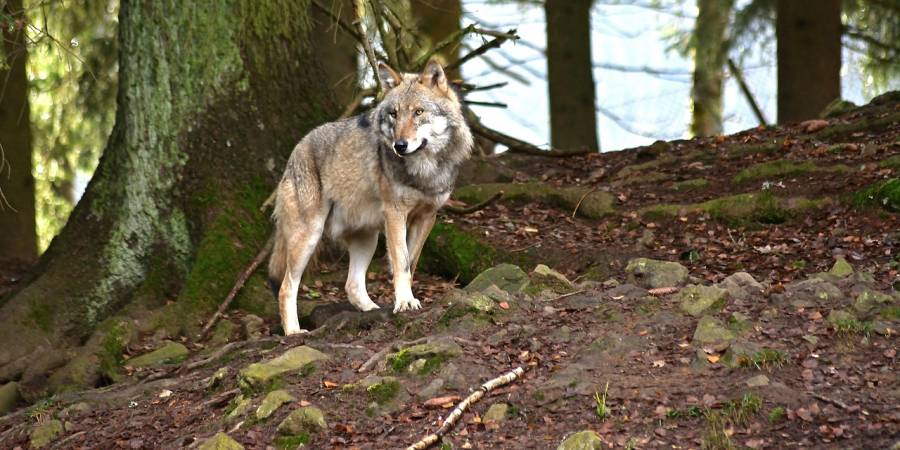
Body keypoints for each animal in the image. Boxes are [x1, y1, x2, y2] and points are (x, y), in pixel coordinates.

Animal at [268, 59, 474, 334]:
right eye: (394, 114)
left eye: (418, 112)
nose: (399, 145)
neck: (424, 170)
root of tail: (297, 148)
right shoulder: (395, 213)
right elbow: (401, 261)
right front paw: (405, 302)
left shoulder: (427, 216)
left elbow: (410, 263)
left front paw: (405, 299)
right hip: (309, 236)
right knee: (286, 287)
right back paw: (293, 331)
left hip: (367, 238)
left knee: (352, 286)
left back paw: (373, 311)